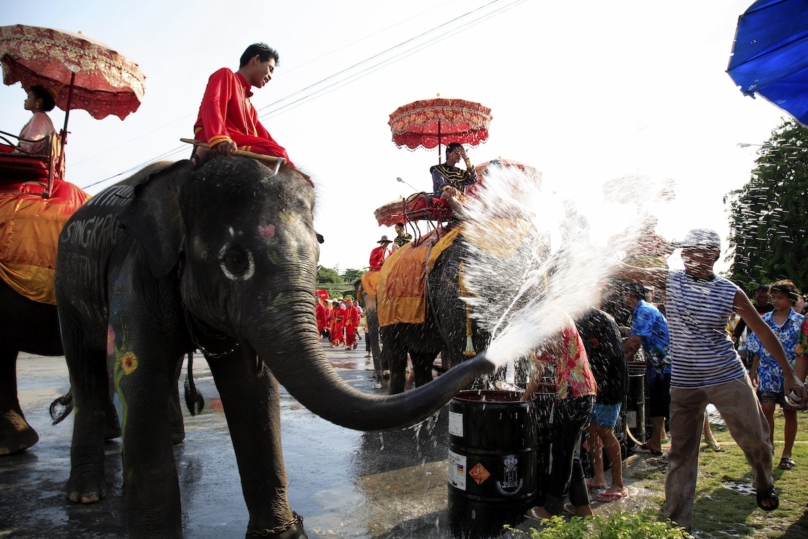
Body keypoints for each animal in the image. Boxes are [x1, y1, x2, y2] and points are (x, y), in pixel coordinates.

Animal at [55, 157, 492, 539]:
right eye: (234, 260)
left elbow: (252, 388)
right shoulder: (134, 273)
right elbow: (140, 378)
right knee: (84, 369)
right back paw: (86, 494)